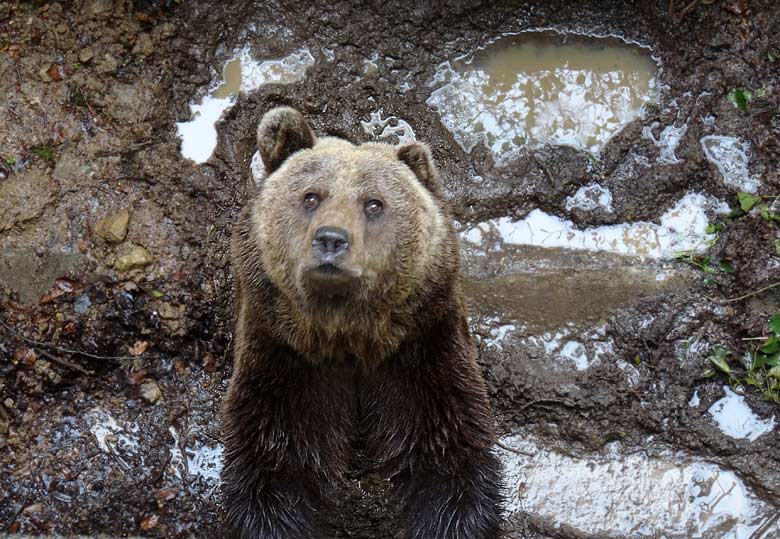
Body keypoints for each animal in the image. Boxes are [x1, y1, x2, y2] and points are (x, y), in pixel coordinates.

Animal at [222, 106, 502, 539]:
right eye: (311, 196)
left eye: (373, 204)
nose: (331, 239)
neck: (349, 336)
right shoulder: (283, 350)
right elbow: (274, 453)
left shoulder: (420, 344)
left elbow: (448, 445)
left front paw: (449, 517)